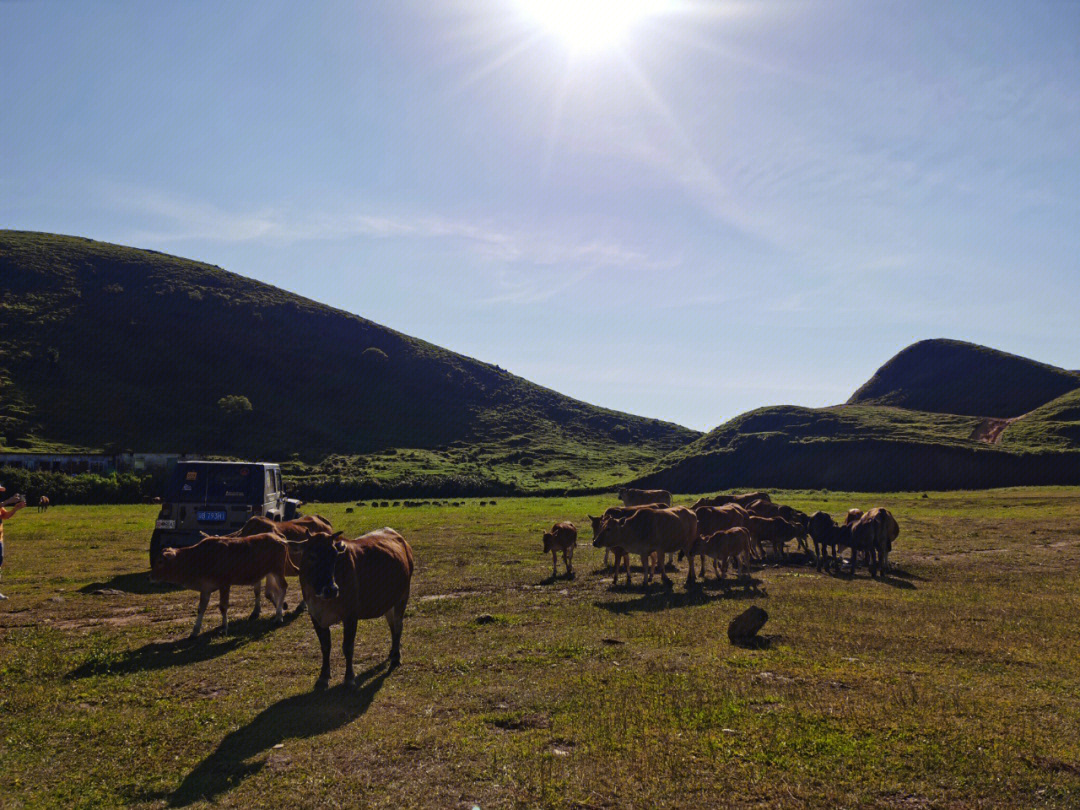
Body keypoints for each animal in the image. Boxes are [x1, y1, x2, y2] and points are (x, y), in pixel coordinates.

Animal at [150, 533, 291, 639]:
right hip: (270, 573)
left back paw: (279, 616)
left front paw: (224, 628)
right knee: (273, 592)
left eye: (160, 561)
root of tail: (278, 538)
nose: (151, 576)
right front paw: (195, 631)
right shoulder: (205, 588)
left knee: (283, 588)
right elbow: (201, 609)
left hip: (278, 571)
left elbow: (223, 607)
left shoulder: (224, 584)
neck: (199, 558)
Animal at [295, 529, 412, 695]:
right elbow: (325, 647)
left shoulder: (350, 615)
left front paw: (349, 678)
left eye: (335, 556)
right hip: (389, 602)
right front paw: (323, 677)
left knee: (398, 625)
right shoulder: (315, 616)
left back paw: (396, 657)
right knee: (392, 626)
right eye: (312, 556)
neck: (322, 600)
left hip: (403, 595)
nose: (331, 589)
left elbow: (348, 647)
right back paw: (392, 652)